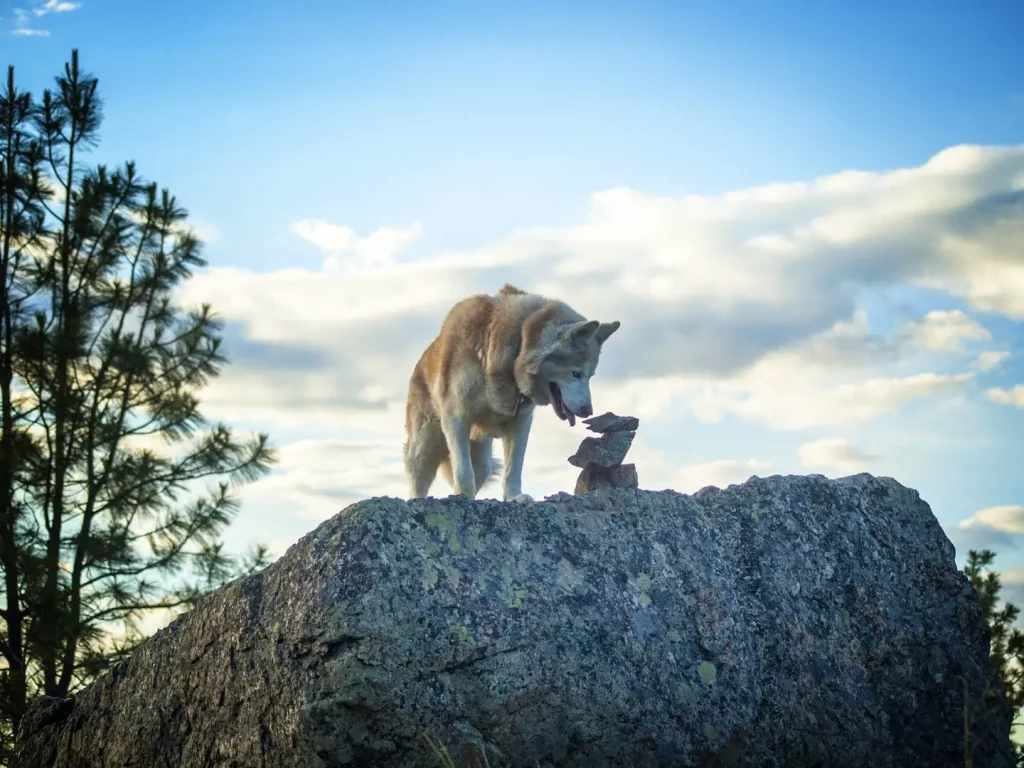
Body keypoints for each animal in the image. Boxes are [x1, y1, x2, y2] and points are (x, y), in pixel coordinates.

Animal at [404, 283, 620, 503]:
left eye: (590, 376)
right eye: (576, 373)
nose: (588, 411)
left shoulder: (521, 423)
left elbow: (513, 469)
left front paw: (515, 496)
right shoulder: (455, 419)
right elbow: (463, 473)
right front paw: (464, 498)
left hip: (482, 461)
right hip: (425, 446)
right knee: (418, 479)